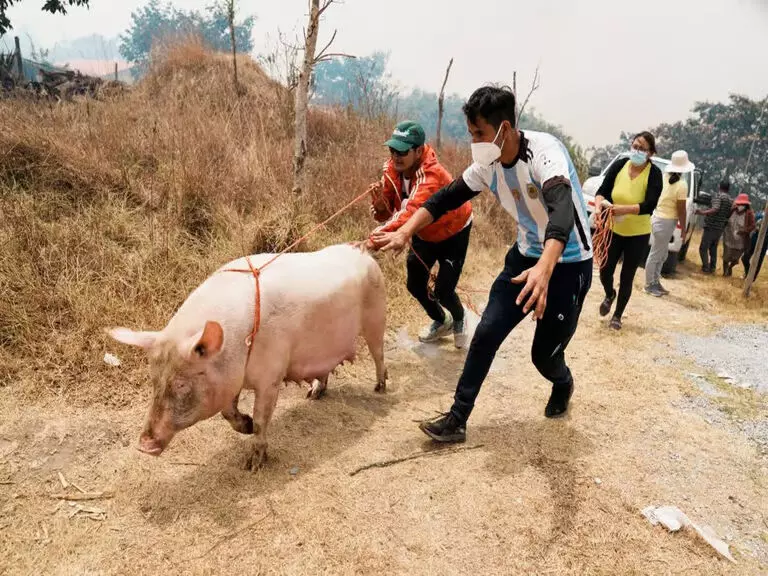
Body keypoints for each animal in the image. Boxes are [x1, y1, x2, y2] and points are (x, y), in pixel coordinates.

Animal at [106, 241, 390, 470]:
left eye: (181, 384)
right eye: (153, 380)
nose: (144, 445)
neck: (237, 342)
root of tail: (365, 252)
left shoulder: (271, 376)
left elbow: (263, 418)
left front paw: (252, 465)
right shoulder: (230, 379)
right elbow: (227, 412)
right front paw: (247, 425)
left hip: (377, 314)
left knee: (379, 353)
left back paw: (380, 388)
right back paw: (314, 395)